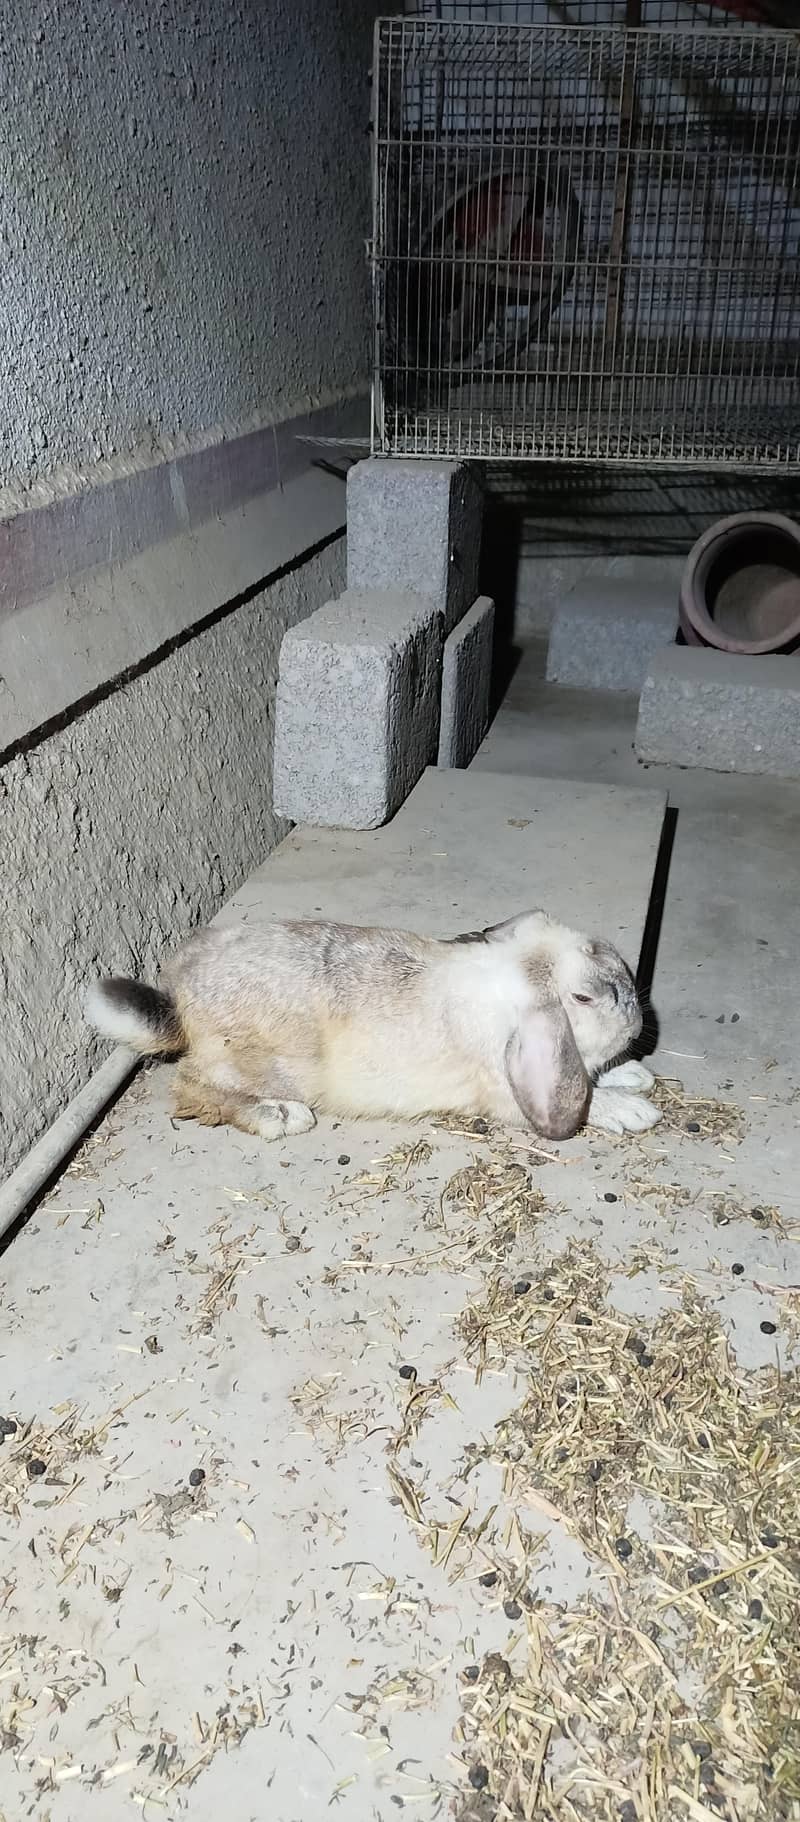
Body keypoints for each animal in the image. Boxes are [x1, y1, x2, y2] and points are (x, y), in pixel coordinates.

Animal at [85, 909, 660, 1145]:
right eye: (584, 997)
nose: (635, 1009)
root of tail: (179, 1000)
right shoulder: (506, 1089)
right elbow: (582, 1100)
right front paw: (633, 1111)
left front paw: (635, 1077)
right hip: (250, 1065)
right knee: (190, 1088)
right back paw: (280, 1116)